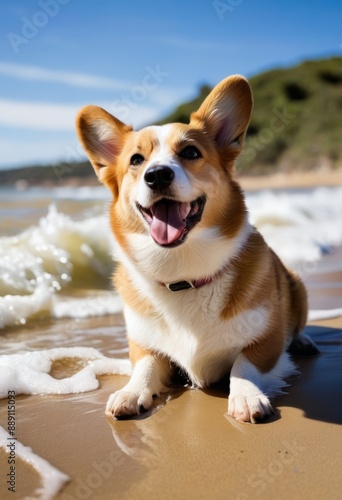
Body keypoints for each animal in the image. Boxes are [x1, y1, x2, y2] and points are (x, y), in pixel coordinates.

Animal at [76, 76, 316, 424]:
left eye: (190, 152)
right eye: (136, 160)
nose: (157, 175)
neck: (182, 273)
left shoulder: (267, 341)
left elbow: (244, 364)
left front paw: (246, 396)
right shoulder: (144, 345)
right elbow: (144, 366)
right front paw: (131, 392)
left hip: (297, 284)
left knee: (297, 327)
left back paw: (304, 340)